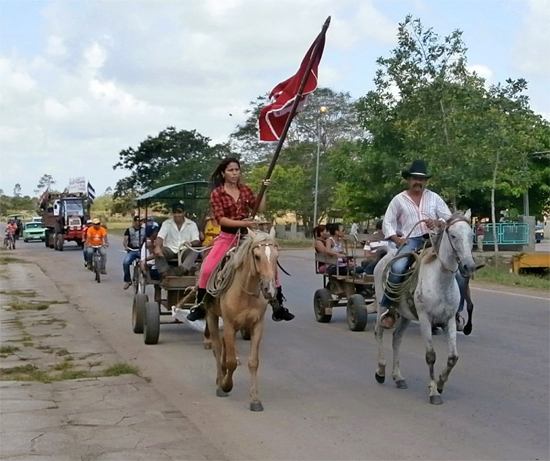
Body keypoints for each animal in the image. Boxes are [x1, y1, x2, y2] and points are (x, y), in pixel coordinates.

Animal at [205, 226, 278, 410]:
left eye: (276, 256)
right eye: (257, 256)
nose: (269, 290)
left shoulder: (257, 325)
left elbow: (253, 362)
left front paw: (255, 399)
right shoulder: (229, 324)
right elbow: (231, 361)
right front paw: (225, 385)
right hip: (212, 316)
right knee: (217, 347)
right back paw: (220, 380)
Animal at [376, 210, 478, 404]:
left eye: (471, 235)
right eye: (453, 236)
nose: (468, 266)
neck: (440, 280)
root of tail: (388, 255)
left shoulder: (449, 321)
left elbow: (453, 357)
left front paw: (440, 383)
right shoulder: (425, 320)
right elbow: (431, 356)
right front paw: (434, 392)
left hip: (405, 315)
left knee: (396, 338)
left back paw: (398, 378)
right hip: (380, 306)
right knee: (379, 333)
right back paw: (380, 371)